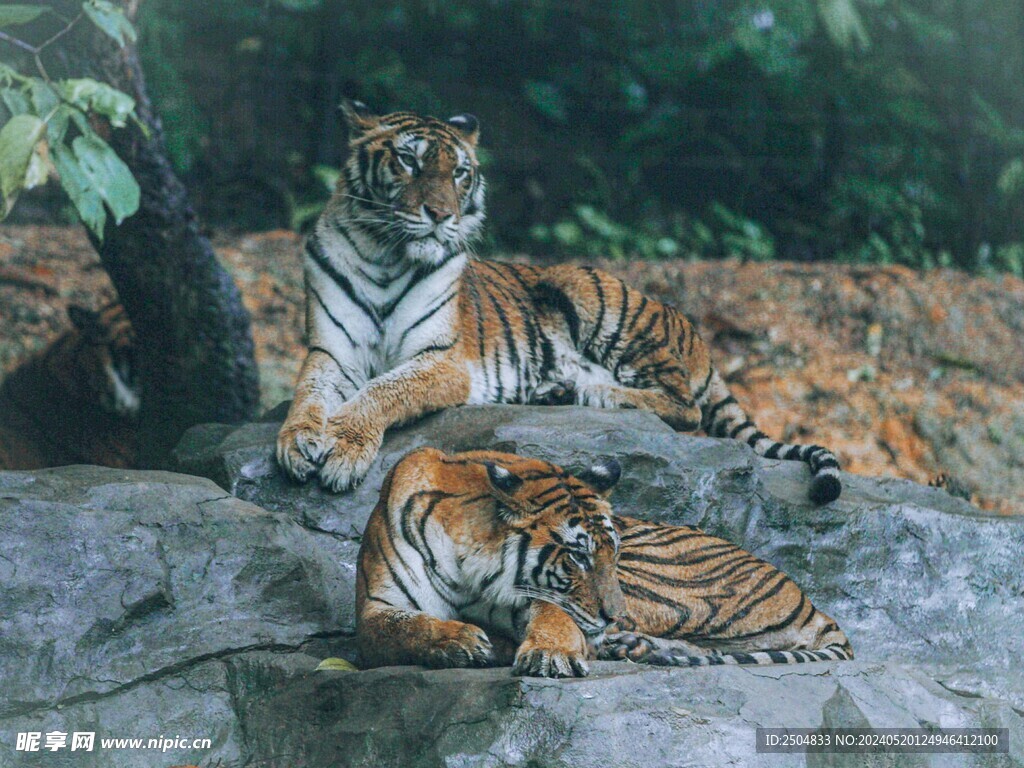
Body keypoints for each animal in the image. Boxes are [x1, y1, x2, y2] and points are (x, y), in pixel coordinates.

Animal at [277, 101, 843, 504]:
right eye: (408, 160)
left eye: (460, 173)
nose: (441, 215)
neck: (385, 255)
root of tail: (694, 331)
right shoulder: (331, 351)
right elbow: (310, 393)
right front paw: (297, 443)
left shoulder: (442, 360)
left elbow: (382, 391)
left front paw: (344, 452)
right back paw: (554, 390)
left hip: (596, 297)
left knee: (684, 407)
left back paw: (589, 392)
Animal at [355, 448, 853, 677]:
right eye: (578, 556)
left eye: (611, 552)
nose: (613, 614)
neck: (470, 568)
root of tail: (812, 604)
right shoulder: (374, 608)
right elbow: (403, 627)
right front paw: (459, 640)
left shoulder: (542, 598)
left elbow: (556, 618)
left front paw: (550, 654)